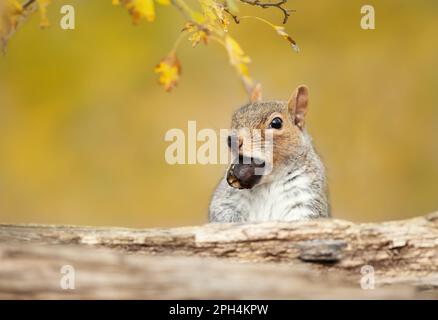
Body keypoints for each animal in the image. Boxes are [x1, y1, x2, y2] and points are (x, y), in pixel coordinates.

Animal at [209, 85, 328, 222]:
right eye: (235, 116)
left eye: (276, 123)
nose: (232, 140)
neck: (268, 183)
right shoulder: (226, 201)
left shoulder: (306, 198)